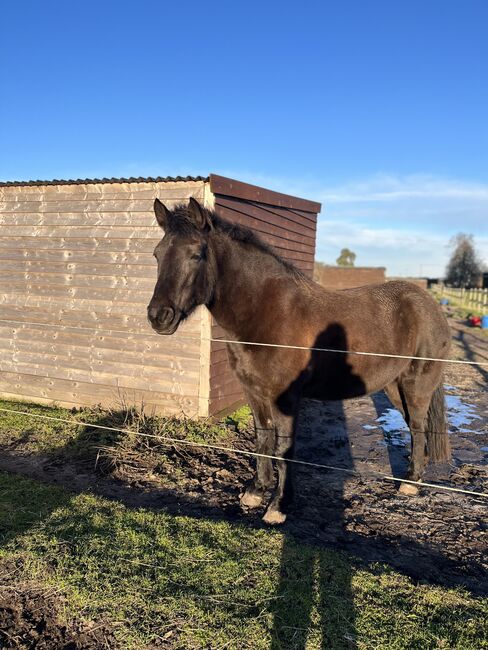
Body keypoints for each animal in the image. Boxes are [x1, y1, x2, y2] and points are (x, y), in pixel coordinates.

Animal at [147, 196, 452, 520]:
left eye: (196, 254)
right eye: (157, 254)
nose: (158, 316)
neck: (266, 313)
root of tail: (429, 304)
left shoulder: (285, 398)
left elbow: (284, 449)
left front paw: (278, 506)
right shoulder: (255, 393)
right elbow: (262, 439)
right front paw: (256, 491)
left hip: (415, 386)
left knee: (418, 427)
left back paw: (411, 483)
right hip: (394, 386)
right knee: (415, 429)